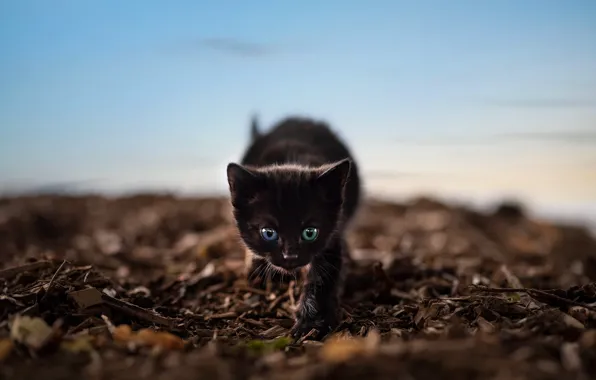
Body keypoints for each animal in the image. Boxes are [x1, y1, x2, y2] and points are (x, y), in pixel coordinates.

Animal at [227, 114, 358, 340]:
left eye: (309, 233)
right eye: (268, 233)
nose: (290, 256)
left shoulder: (332, 237)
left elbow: (323, 276)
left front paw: (312, 324)